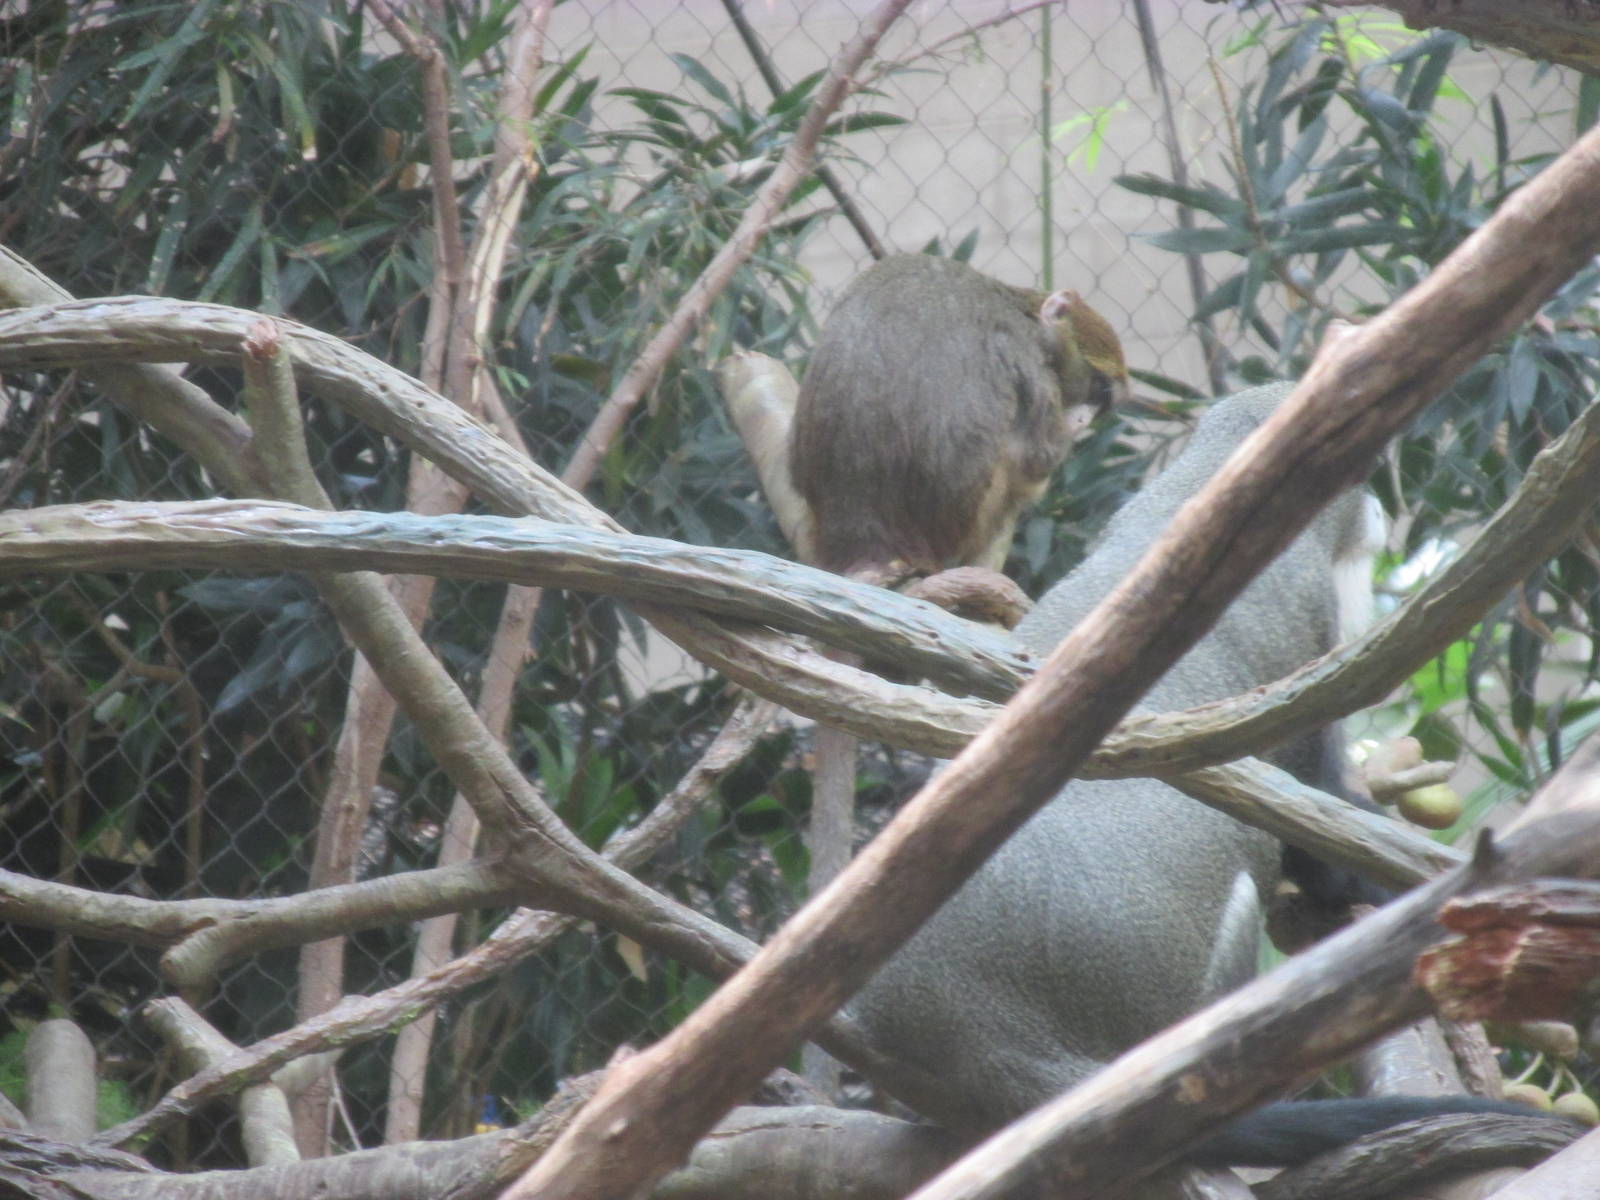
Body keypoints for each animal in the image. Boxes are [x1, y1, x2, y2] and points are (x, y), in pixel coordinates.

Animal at [789, 253, 1131, 581]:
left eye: (1101, 405)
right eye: (1099, 389)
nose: (1083, 421)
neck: (1019, 306)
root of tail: (870, 543)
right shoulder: (1027, 356)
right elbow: (1036, 459)